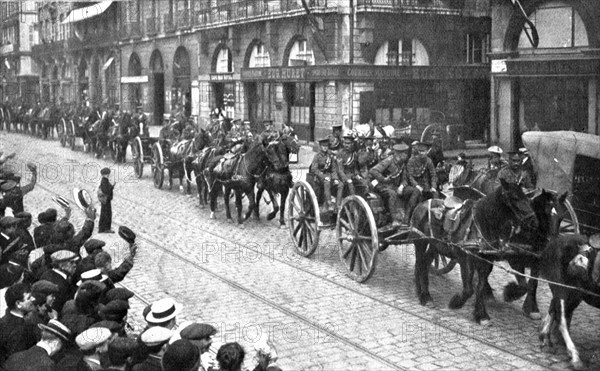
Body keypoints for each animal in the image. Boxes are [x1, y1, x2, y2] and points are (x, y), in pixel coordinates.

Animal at [410, 179, 536, 326]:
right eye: (514, 198)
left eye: (526, 197)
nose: (533, 220)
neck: (482, 224)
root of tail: (423, 204)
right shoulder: (465, 258)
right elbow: (468, 289)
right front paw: (456, 302)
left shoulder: (486, 262)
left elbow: (480, 287)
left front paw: (482, 315)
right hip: (420, 241)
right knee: (419, 264)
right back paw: (423, 295)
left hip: (435, 245)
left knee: (424, 264)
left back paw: (426, 295)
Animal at [536, 234, 596, 370]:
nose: (581, 259)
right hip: (561, 285)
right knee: (561, 316)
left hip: (573, 293)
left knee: (556, 308)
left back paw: (546, 337)